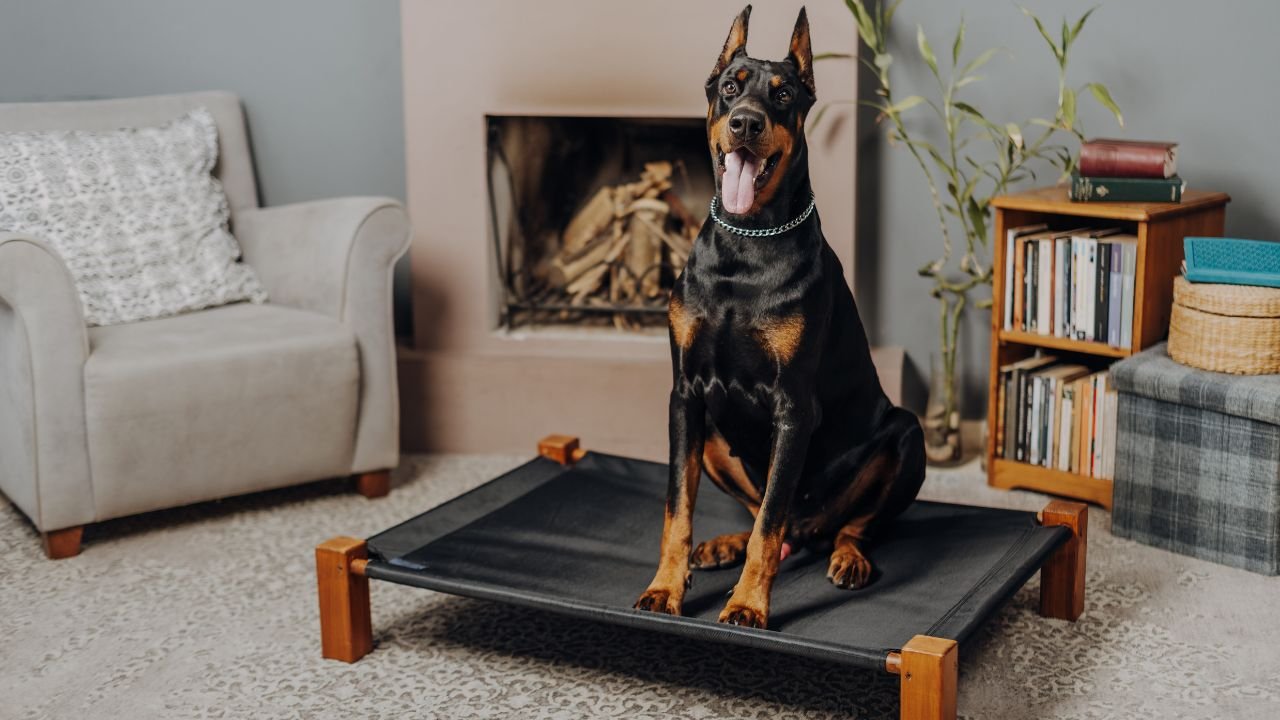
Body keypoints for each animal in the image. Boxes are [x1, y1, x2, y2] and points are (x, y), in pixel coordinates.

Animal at [634, 4, 926, 627]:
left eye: (784, 93)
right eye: (730, 87)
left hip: (904, 435)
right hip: (713, 434)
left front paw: (748, 604)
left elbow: (769, 525)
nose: (745, 123)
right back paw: (724, 545)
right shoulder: (684, 396)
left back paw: (847, 557)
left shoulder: (793, 407)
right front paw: (666, 587)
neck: (745, 246)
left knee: (840, 525)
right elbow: (677, 508)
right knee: (766, 514)